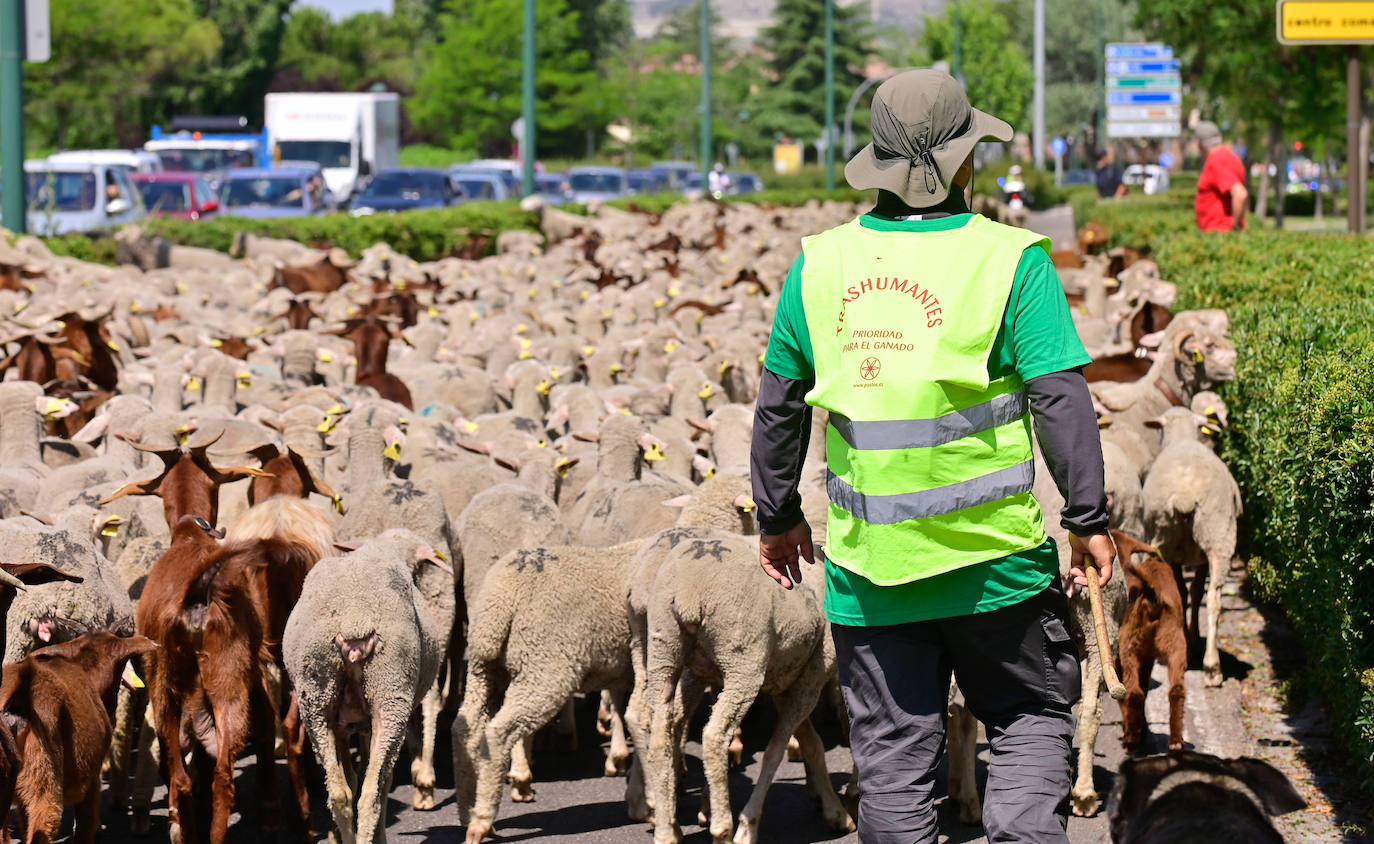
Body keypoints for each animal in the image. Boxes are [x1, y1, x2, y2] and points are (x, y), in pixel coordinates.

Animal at [1110, 533, 1187, 758]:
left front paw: (1133, 732)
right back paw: (1176, 743)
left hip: (1129, 646)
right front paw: (1142, 729)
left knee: (1133, 692)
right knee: (1176, 689)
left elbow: (1126, 694)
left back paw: (1132, 743)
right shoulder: (1147, 657)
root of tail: (1152, 593)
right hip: (1175, 643)